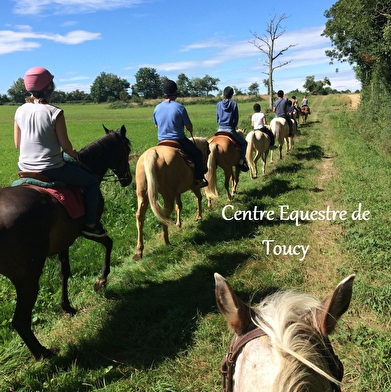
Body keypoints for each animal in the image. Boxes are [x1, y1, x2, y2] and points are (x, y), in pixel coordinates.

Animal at [0, 125, 132, 358]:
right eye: (126, 149)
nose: (128, 179)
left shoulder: (63, 240)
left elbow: (64, 272)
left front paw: (67, 306)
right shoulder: (88, 230)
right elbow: (108, 244)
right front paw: (101, 281)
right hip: (27, 277)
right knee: (20, 321)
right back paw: (43, 353)